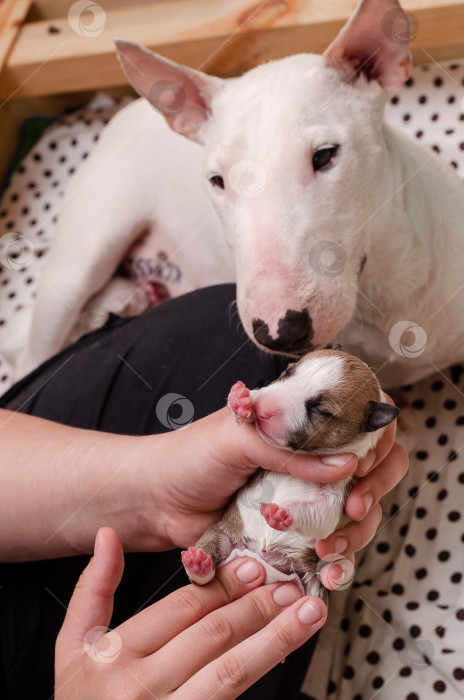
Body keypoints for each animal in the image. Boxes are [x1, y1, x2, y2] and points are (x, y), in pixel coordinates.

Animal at [20, 0, 464, 388]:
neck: (382, 293)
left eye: (325, 155)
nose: (279, 330)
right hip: (85, 249)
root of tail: (125, 111)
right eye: (217, 180)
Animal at [181, 348, 398, 596]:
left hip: (313, 587)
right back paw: (198, 564)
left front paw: (282, 513)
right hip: (219, 534)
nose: (262, 408)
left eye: (320, 410)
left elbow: (323, 514)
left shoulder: (338, 495)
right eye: (287, 371)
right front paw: (242, 401)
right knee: (204, 574)